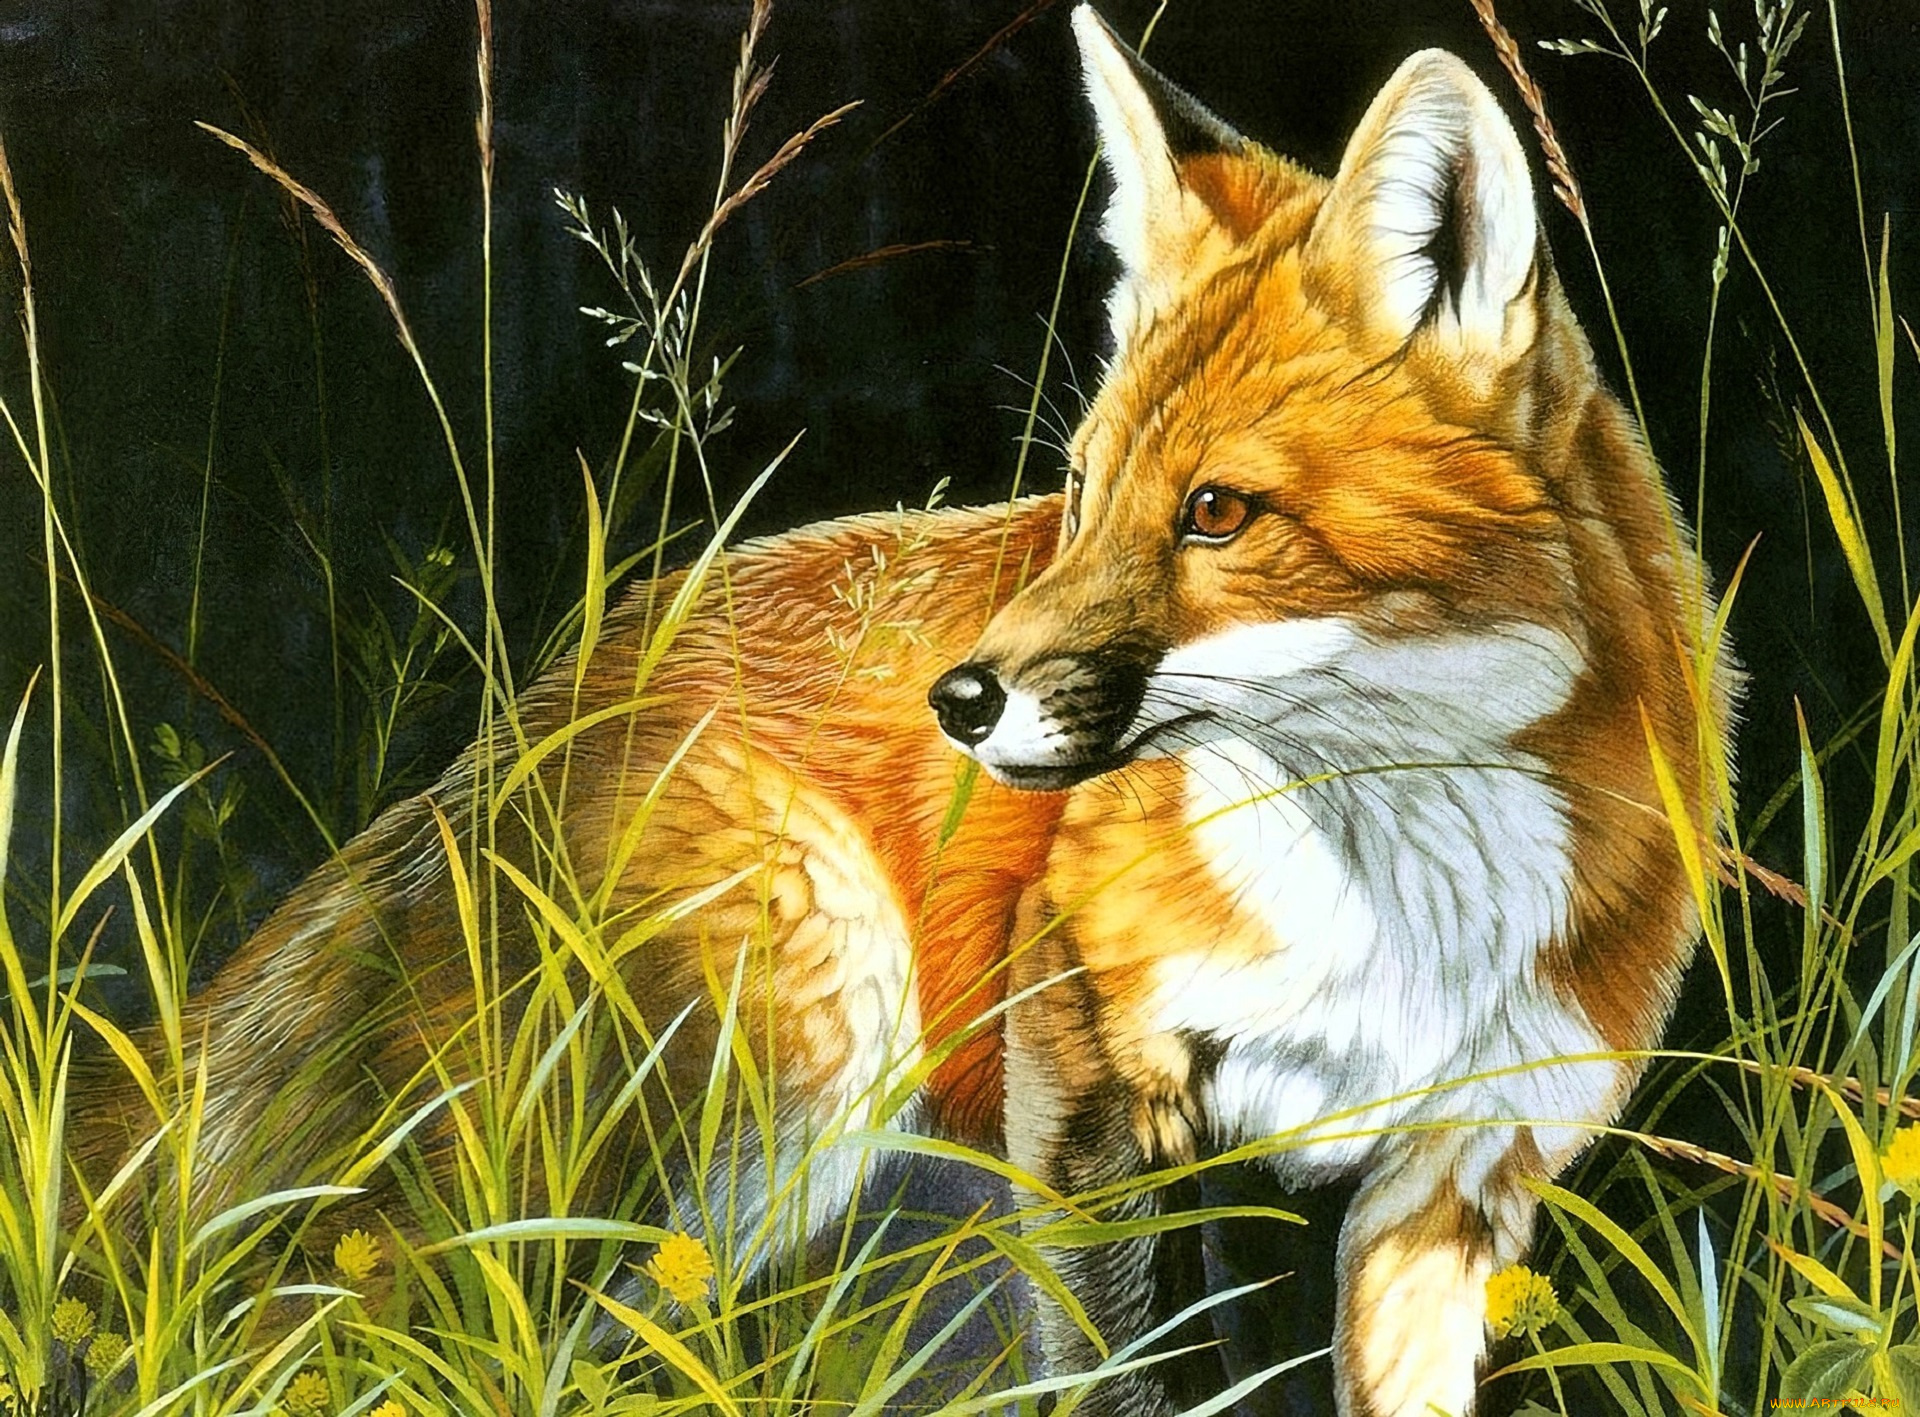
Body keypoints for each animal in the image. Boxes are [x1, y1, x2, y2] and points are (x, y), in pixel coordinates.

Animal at [67, 9, 1729, 1417]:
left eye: (1215, 512)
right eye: (1082, 492)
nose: (963, 699)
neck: (1397, 910)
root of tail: (532, 711)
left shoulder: (1454, 1184)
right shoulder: (1080, 1093)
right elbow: (1125, 1380)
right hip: (797, 1035)